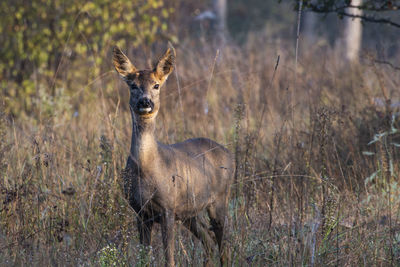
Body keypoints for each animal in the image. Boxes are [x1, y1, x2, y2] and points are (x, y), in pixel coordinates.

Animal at [112, 45, 234, 266]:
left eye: (156, 85)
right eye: (133, 85)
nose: (145, 101)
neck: (147, 168)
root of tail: (230, 154)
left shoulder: (168, 207)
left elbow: (169, 259)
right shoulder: (140, 212)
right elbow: (144, 257)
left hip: (220, 198)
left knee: (224, 245)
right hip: (189, 212)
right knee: (209, 242)